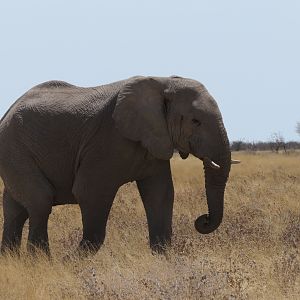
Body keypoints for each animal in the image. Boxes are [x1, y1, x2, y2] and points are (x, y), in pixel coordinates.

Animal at [0, 76, 237, 254]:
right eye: (195, 121)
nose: (203, 220)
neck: (163, 81)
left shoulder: (154, 141)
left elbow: (160, 194)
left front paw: (163, 259)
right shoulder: (106, 140)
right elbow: (90, 193)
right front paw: (70, 262)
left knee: (16, 210)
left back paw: (12, 261)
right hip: (15, 149)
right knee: (41, 202)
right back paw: (41, 261)